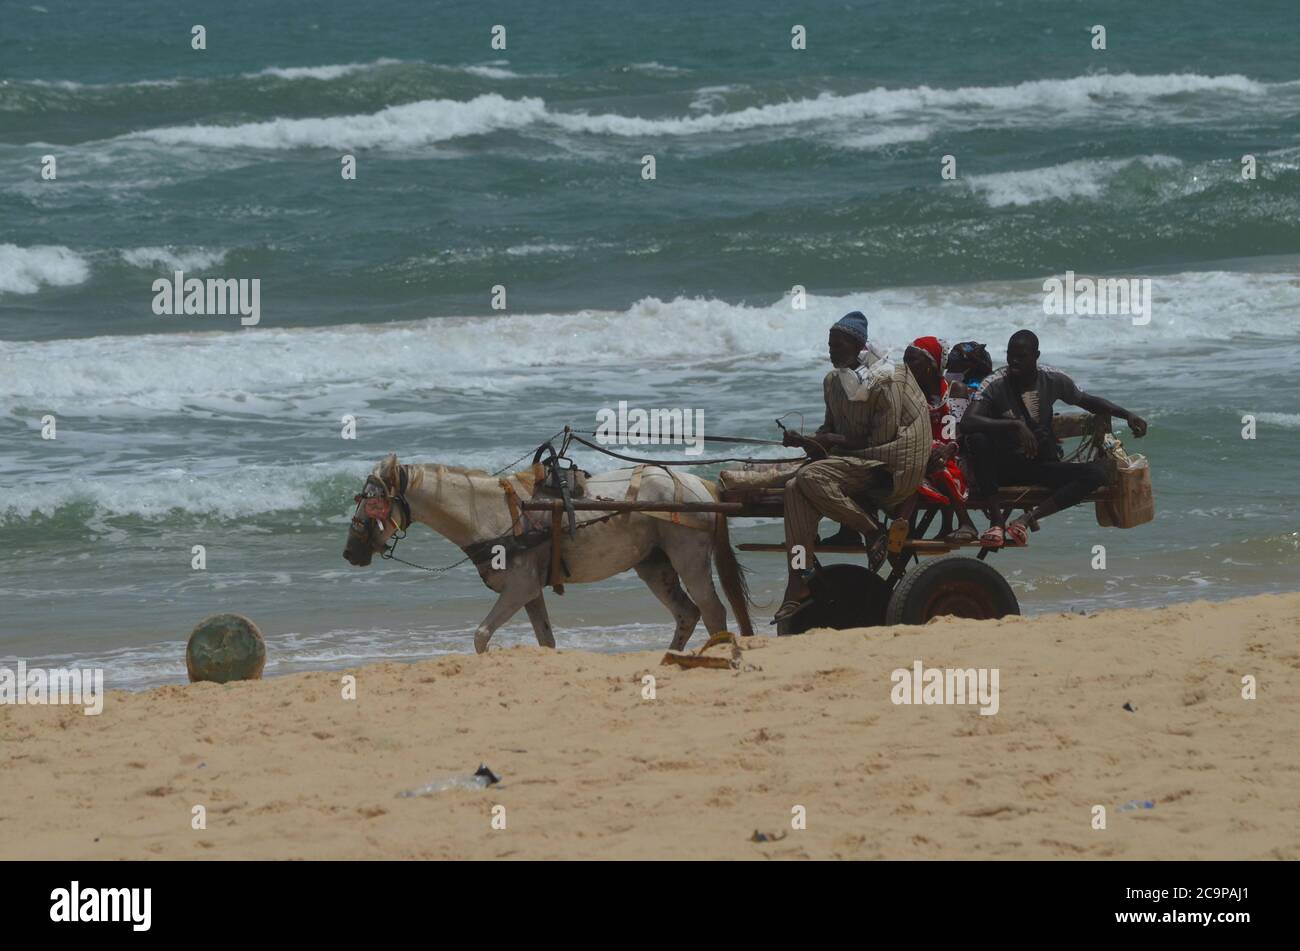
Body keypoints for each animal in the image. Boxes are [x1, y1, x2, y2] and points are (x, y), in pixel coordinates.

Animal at [340, 454, 759, 654]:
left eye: (372, 501)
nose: (349, 551)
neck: (494, 513)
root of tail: (701, 484)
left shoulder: (519, 587)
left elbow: (481, 634)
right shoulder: (530, 592)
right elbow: (545, 640)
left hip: (688, 559)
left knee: (712, 611)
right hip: (654, 565)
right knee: (688, 613)